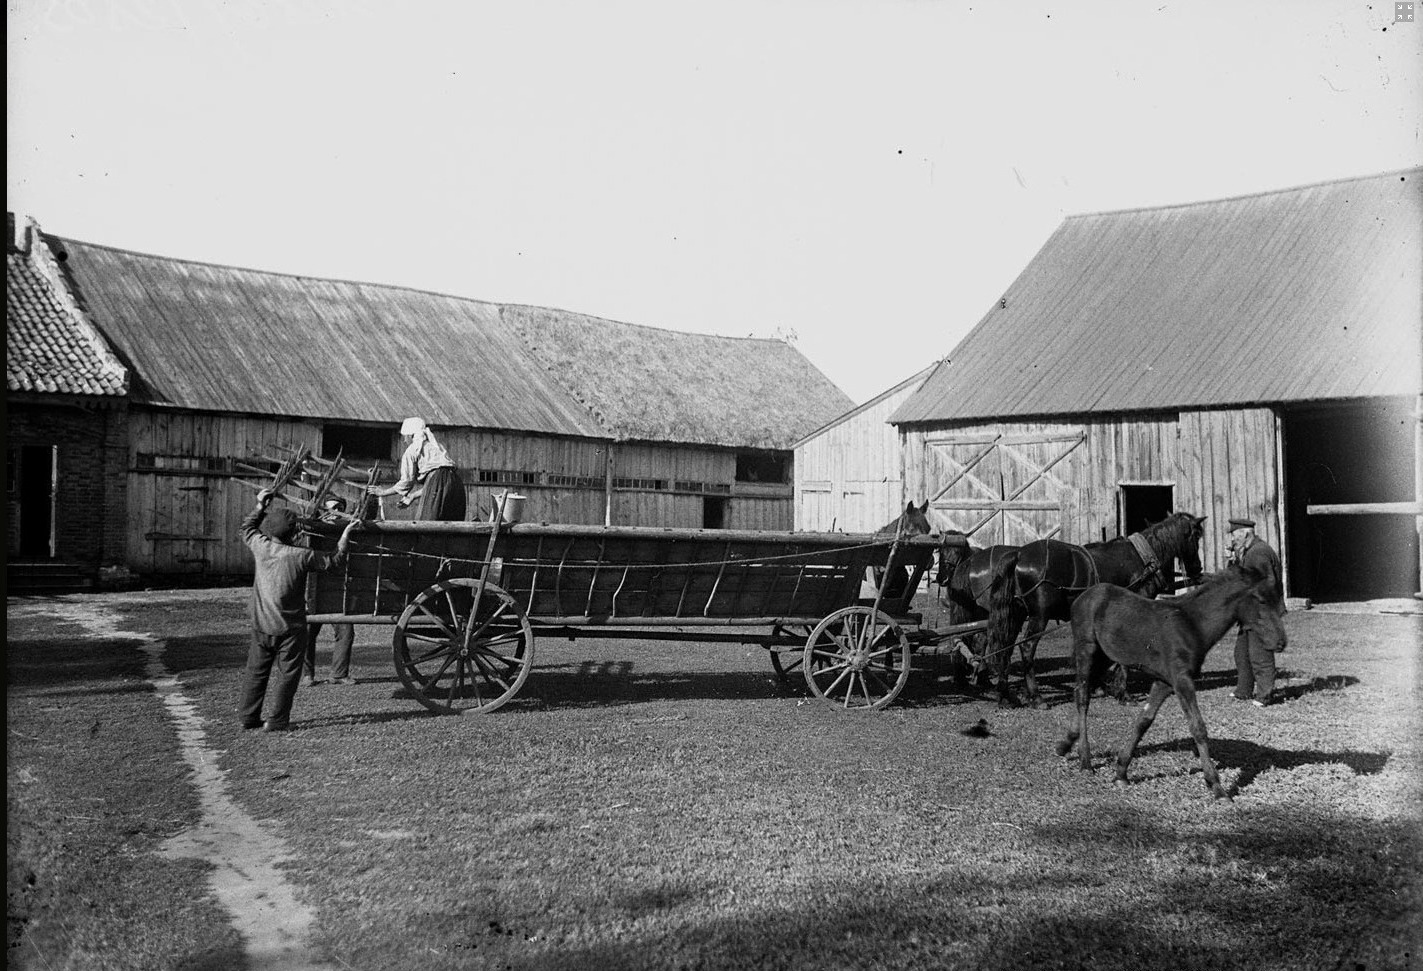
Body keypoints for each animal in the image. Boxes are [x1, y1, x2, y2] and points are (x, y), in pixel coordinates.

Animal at [990, 509, 1212, 706]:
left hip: (1016, 614)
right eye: (1196, 536)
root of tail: (1019, 553)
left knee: (1005, 648)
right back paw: (1036, 697)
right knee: (1026, 648)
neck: (1142, 559)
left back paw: (1005, 696)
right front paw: (1122, 692)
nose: (1198, 568)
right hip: (1039, 616)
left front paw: (1099, 684)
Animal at [1053, 563, 1286, 797]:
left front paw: (1121, 773)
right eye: (1262, 600)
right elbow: (1198, 727)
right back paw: (1085, 760)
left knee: (1082, 690)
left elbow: (1144, 721)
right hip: (1087, 650)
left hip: (1104, 656)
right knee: (1083, 697)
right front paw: (1217, 787)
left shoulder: (1164, 681)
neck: (1192, 625)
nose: (1281, 643)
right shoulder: (1182, 680)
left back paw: (1065, 744)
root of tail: (1085, 595)